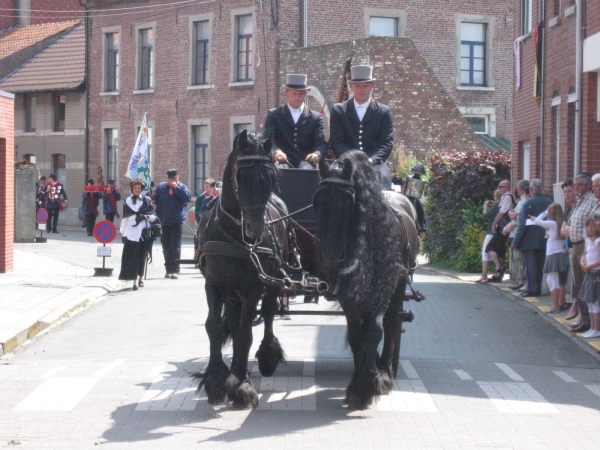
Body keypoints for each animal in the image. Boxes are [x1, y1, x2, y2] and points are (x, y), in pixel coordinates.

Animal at [195, 129, 290, 408]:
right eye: (240, 176)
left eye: (271, 178)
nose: (255, 229)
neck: (234, 236)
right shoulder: (214, 284)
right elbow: (215, 327)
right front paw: (216, 380)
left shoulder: (253, 287)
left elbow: (246, 334)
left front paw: (241, 386)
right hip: (232, 292)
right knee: (236, 324)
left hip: (272, 281)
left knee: (267, 314)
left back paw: (266, 357)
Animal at [314, 149, 418, 410]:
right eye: (317, 199)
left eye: (347, 201)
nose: (329, 263)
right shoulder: (348, 295)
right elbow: (356, 333)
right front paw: (359, 381)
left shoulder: (383, 290)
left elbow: (375, 330)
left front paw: (366, 387)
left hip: (400, 285)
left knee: (392, 323)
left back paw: (386, 370)